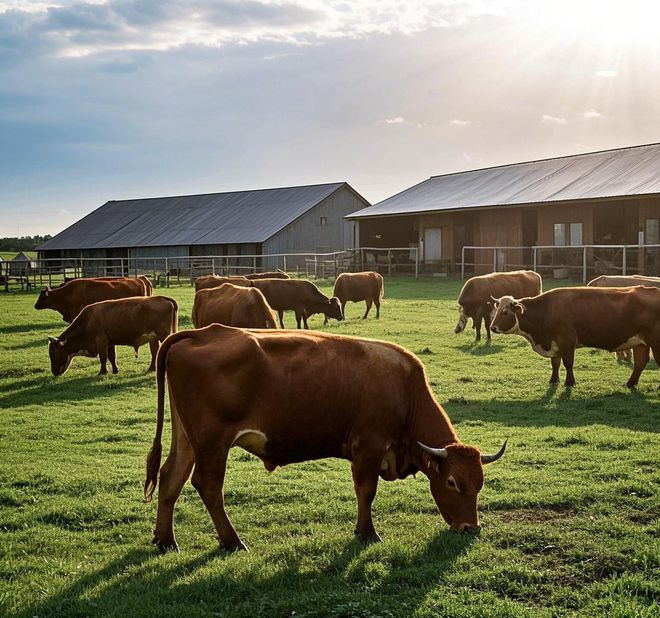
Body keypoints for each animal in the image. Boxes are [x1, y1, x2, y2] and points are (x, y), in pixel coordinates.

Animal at [47, 294, 179, 376]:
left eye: (52, 353)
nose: (54, 372)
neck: (88, 321)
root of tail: (163, 298)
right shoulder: (109, 343)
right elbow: (112, 357)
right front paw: (115, 370)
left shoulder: (101, 341)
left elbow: (103, 357)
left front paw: (102, 372)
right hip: (154, 337)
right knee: (155, 351)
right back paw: (152, 368)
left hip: (163, 335)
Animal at [144, 324, 506, 552]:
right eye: (452, 483)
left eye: (480, 483)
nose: (470, 528)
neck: (405, 390)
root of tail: (202, 332)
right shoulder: (368, 446)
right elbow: (366, 491)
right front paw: (367, 533)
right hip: (213, 443)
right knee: (207, 485)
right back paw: (232, 541)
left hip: (188, 439)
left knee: (171, 477)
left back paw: (166, 540)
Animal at [490, 286, 660, 384]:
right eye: (497, 311)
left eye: (505, 312)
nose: (493, 327)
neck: (546, 310)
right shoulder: (555, 344)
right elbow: (555, 363)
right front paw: (553, 380)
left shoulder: (567, 341)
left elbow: (568, 363)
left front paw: (569, 382)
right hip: (641, 342)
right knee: (640, 363)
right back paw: (630, 383)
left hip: (655, 342)